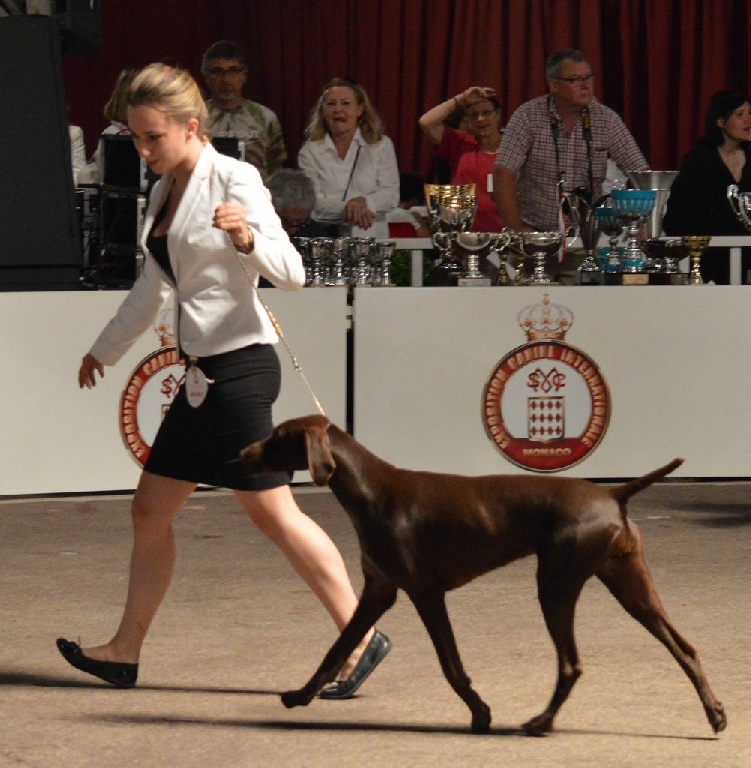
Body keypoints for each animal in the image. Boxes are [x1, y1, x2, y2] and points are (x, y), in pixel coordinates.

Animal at [241, 416, 728, 736]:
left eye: (276, 436)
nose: (241, 453)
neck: (371, 490)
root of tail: (614, 494)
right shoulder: (379, 591)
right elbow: (335, 648)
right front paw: (301, 695)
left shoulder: (424, 592)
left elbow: (452, 666)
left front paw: (481, 714)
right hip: (630, 586)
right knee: (686, 648)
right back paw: (716, 714)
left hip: (556, 586)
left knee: (570, 664)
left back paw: (541, 722)